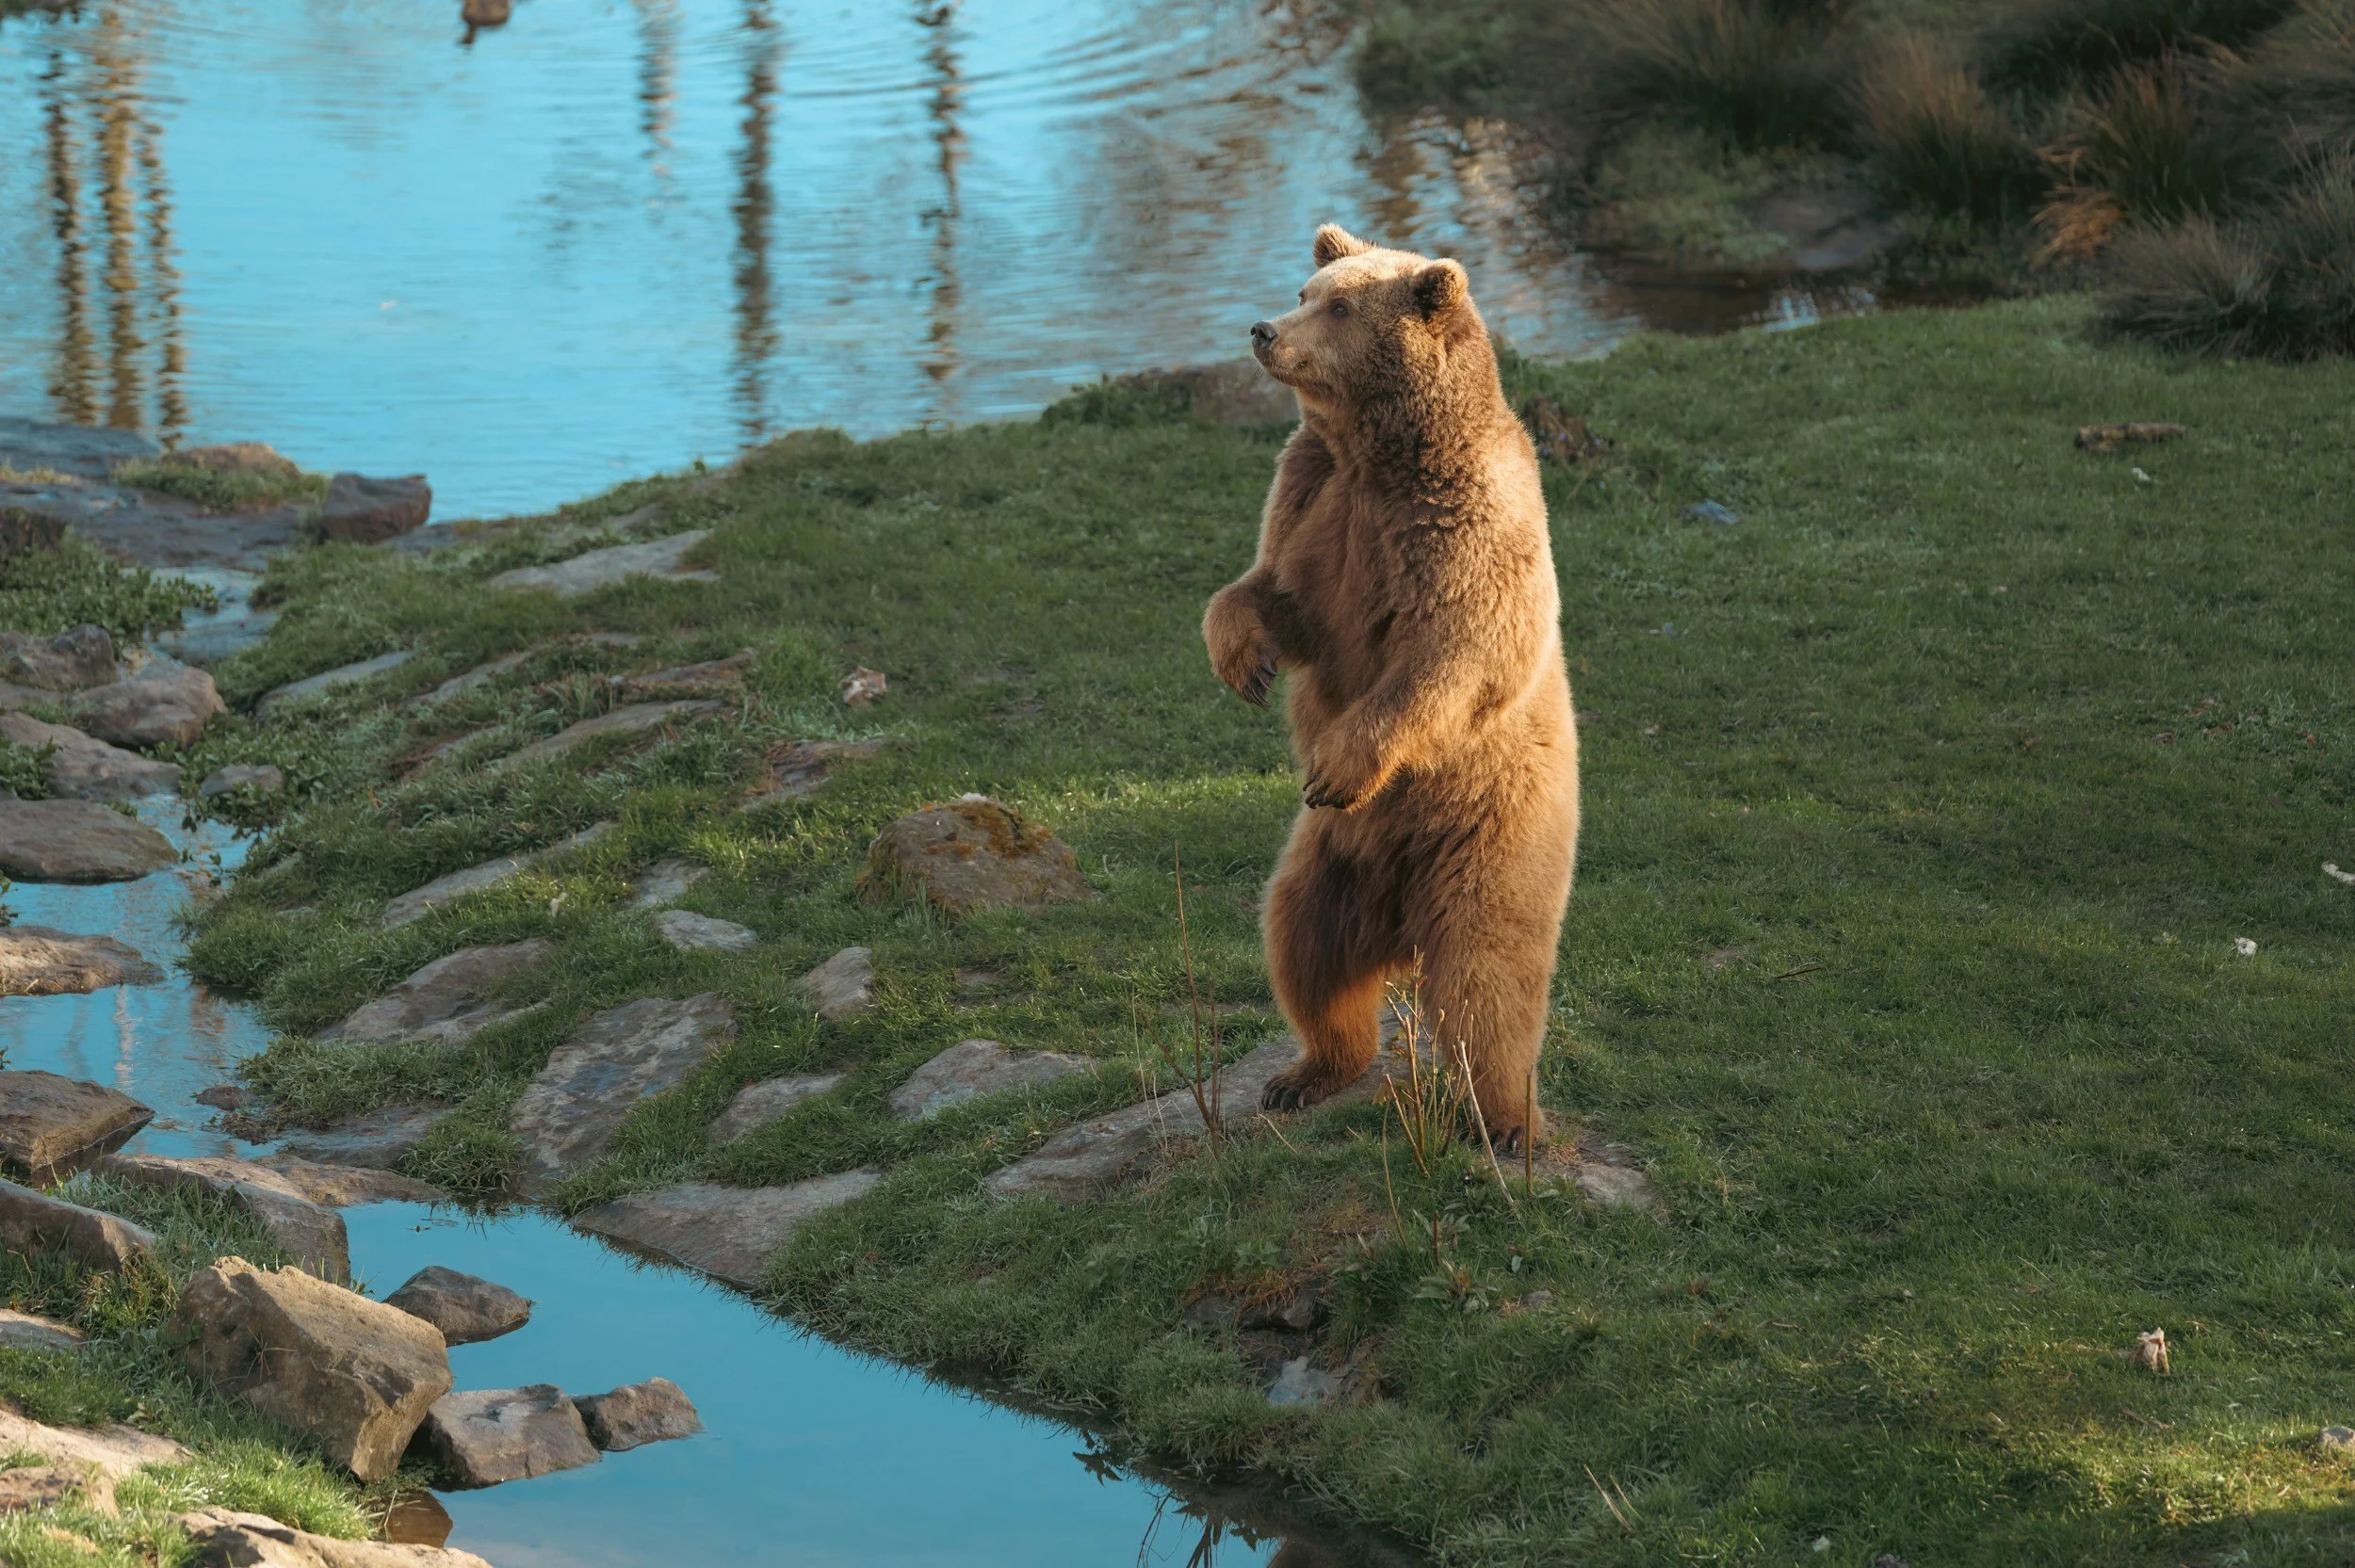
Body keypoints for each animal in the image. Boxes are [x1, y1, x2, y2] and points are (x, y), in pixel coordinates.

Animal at [1202, 223, 1580, 1148]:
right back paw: (1305, 1073)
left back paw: (1505, 1119)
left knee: (1487, 987)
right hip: (1328, 864)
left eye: (1340, 306)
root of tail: (1401, 926)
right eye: (1307, 289)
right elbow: (1270, 592)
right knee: (1304, 946)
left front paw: (1337, 763)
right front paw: (1245, 661)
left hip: (1488, 839)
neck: (1378, 455)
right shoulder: (1314, 502)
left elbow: (1454, 654)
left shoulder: (1465, 522)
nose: (1264, 329)